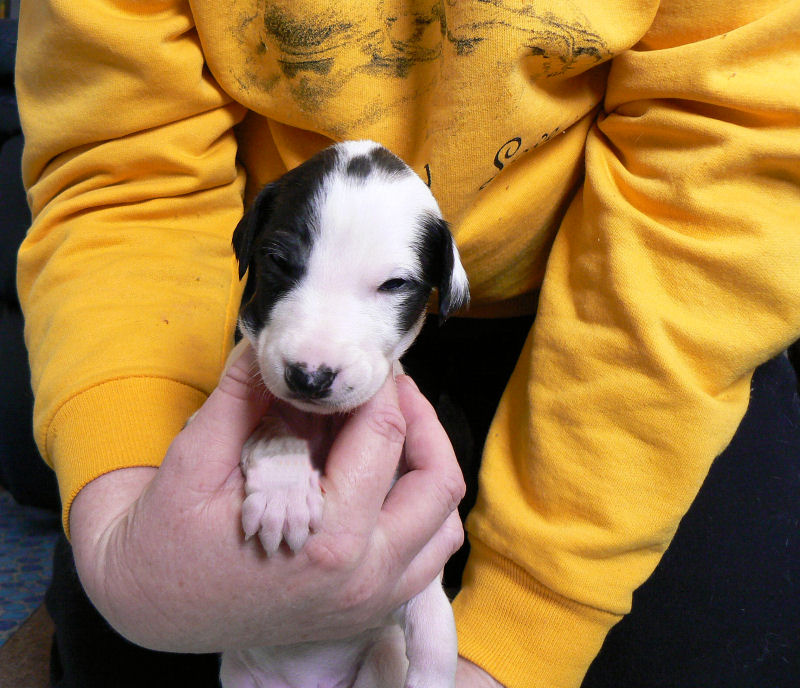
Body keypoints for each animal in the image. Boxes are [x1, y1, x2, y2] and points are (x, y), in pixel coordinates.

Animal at [219, 141, 468, 688]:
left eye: (394, 284)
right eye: (276, 260)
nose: (309, 378)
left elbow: (431, 614)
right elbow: (274, 423)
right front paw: (284, 492)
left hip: (377, 659)